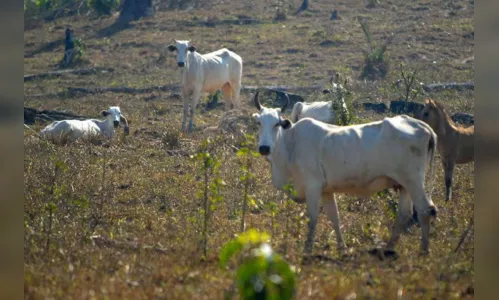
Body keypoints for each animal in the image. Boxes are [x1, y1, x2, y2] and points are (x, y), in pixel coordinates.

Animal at [252, 92, 440, 258]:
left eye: (277, 124)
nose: (264, 148)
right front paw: (342, 249)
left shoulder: (313, 186)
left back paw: (424, 250)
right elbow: (334, 218)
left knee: (425, 210)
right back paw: (389, 248)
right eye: (259, 123)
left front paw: (307, 250)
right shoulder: (326, 191)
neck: (291, 145)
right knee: (405, 214)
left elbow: (312, 219)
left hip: (414, 181)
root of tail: (423, 126)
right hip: (404, 185)